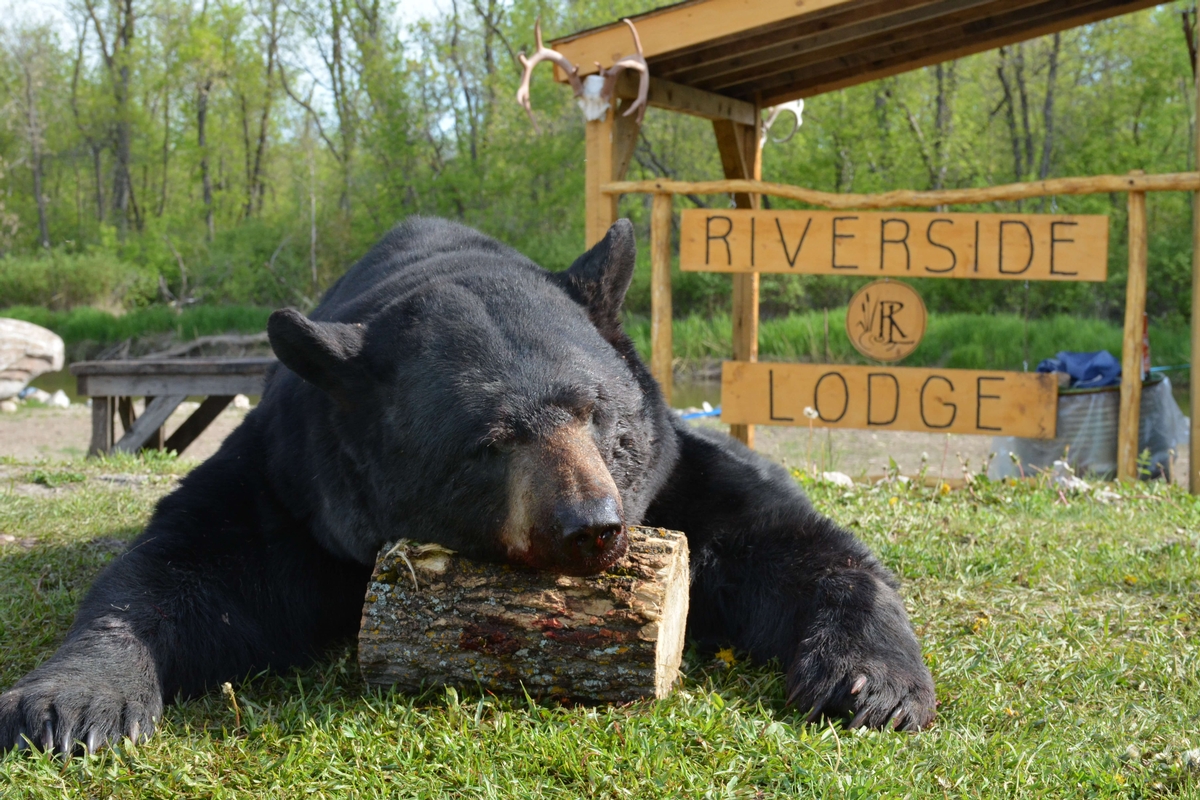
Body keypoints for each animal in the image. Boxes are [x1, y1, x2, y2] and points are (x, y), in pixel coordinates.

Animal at [0, 218, 935, 755]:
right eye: (489, 442)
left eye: (597, 414)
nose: (590, 524)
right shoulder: (292, 489)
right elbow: (184, 566)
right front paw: (72, 704)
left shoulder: (674, 478)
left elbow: (788, 542)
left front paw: (873, 685)